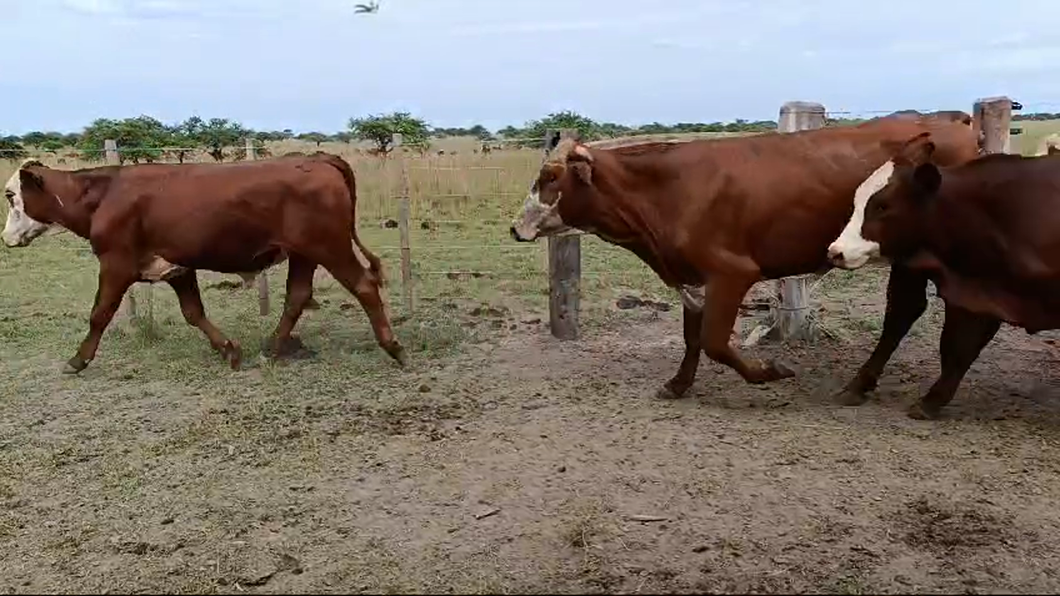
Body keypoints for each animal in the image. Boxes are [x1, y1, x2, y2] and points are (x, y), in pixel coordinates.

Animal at [2, 153, 407, 374]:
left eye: (9, 195)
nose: (6, 237)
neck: (104, 195)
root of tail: (319, 159)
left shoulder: (116, 265)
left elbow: (99, 315)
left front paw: (78, 360)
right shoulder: (178, 268)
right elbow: (193, 312)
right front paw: (229, 349)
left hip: (329, 247)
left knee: (364, 286)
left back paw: (394, 348)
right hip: (305, 253)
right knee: (296, 296)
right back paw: (272, 350)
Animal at [509, 113, 979, 405]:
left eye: (550, 176)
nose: (515, 228)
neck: (666, 191)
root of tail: (950, 121)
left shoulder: (732, 273)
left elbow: (716, 342)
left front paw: (769, 371)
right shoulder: (694, 279)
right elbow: (693, 338)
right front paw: (678, 384)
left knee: (909, 312)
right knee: (906, 312)